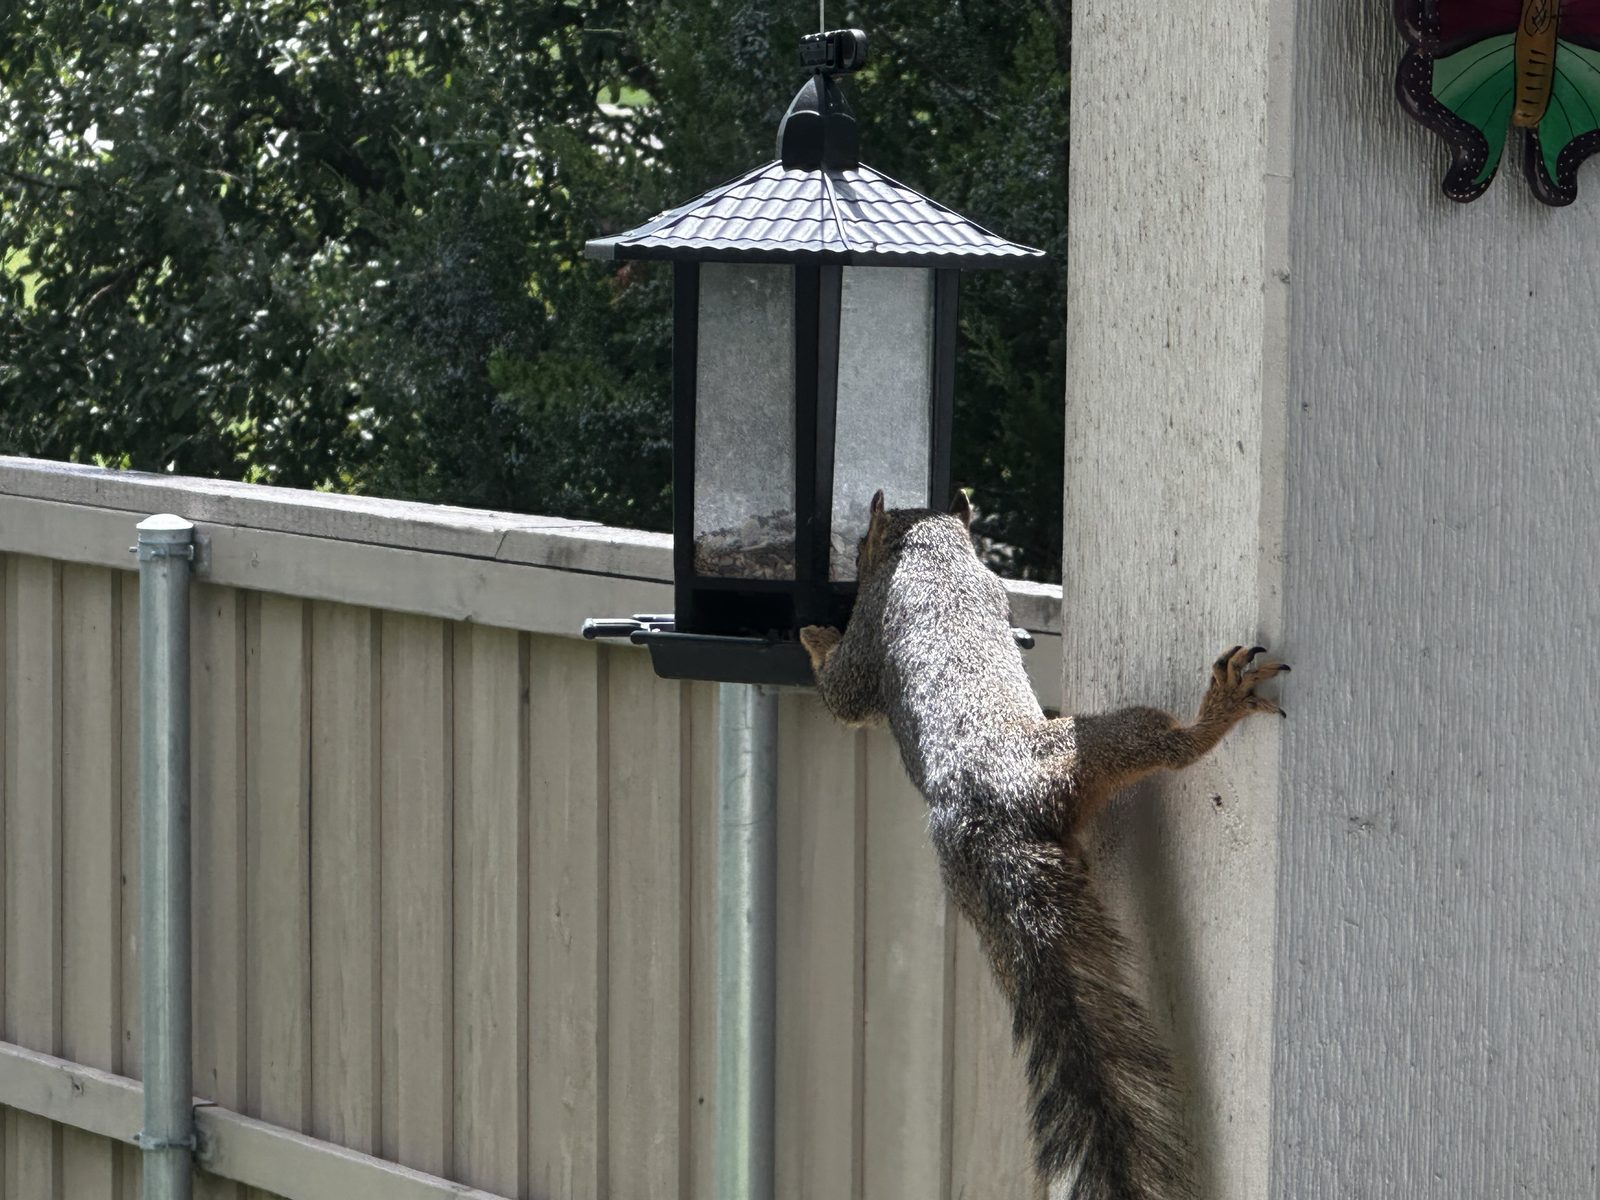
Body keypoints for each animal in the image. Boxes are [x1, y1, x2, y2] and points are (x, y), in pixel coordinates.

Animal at [799, 490, 1288, 1200]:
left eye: (861, 541)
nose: (852, 559)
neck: (933, 550)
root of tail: (985, 819)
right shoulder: (872, 625)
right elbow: (845, 693)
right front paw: (815, 640)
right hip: (1081, 750)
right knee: (1168, 746)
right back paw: (1212, 714)